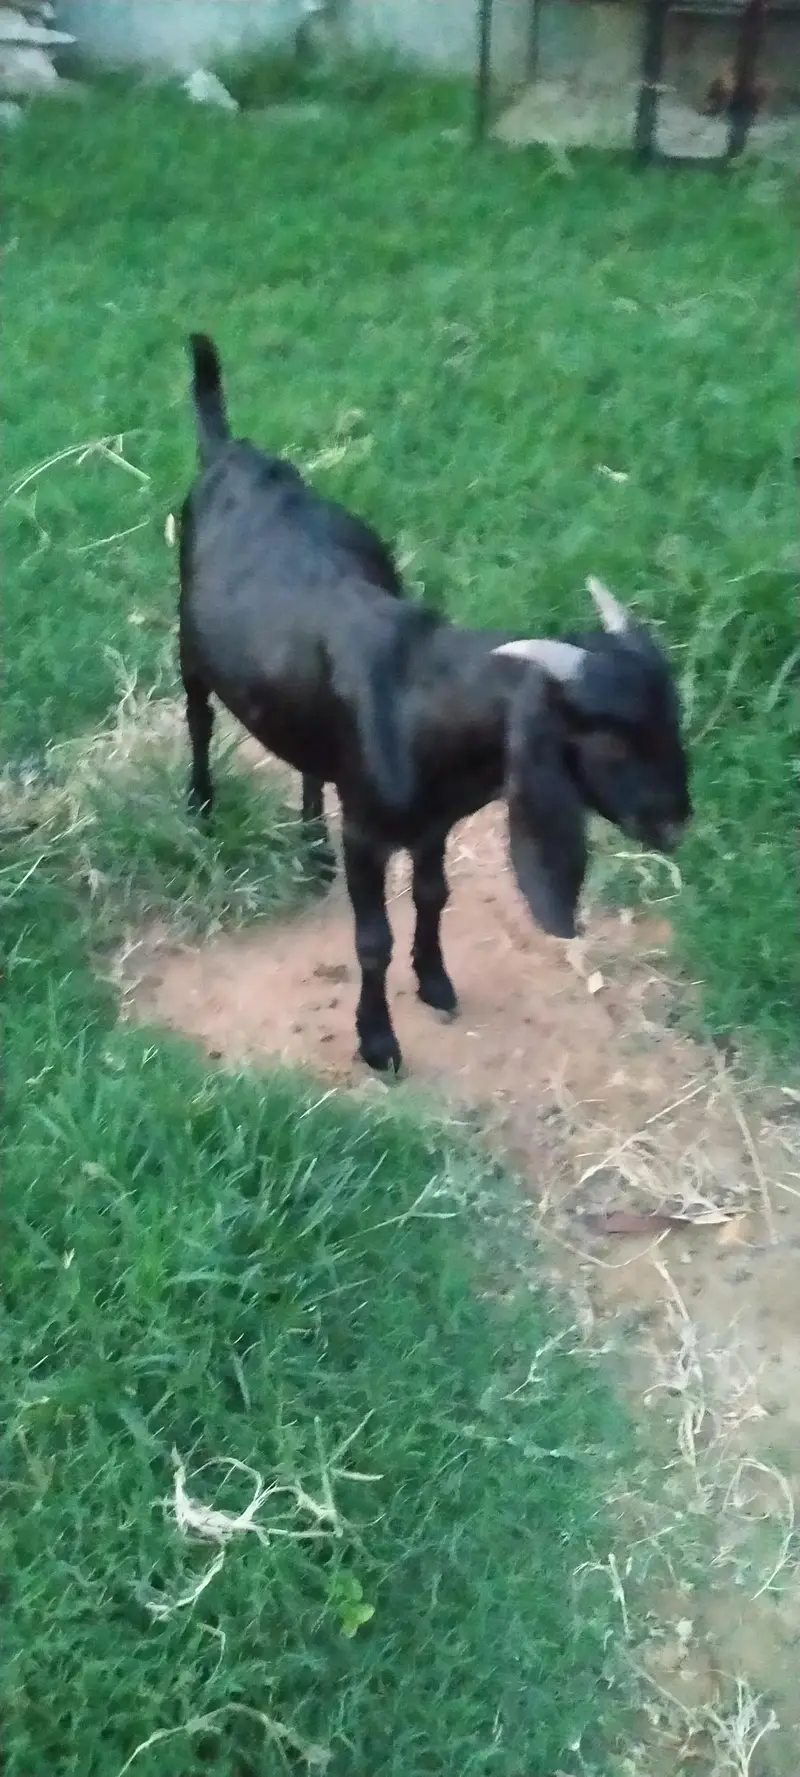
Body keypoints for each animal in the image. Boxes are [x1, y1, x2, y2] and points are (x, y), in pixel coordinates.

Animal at [179, 333, 692, 1075]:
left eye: (670, 717)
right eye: (609, 738)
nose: (675, 822)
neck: (419, 698)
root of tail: (232, 453)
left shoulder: (433, 824)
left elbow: (433, 896)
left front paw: (436, 981)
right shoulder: (368, 834)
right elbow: (372, 940)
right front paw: (378, 1041)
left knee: (307, 760)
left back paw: (311, 847)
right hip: (187, 645)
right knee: (198, 717)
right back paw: (200, 807)